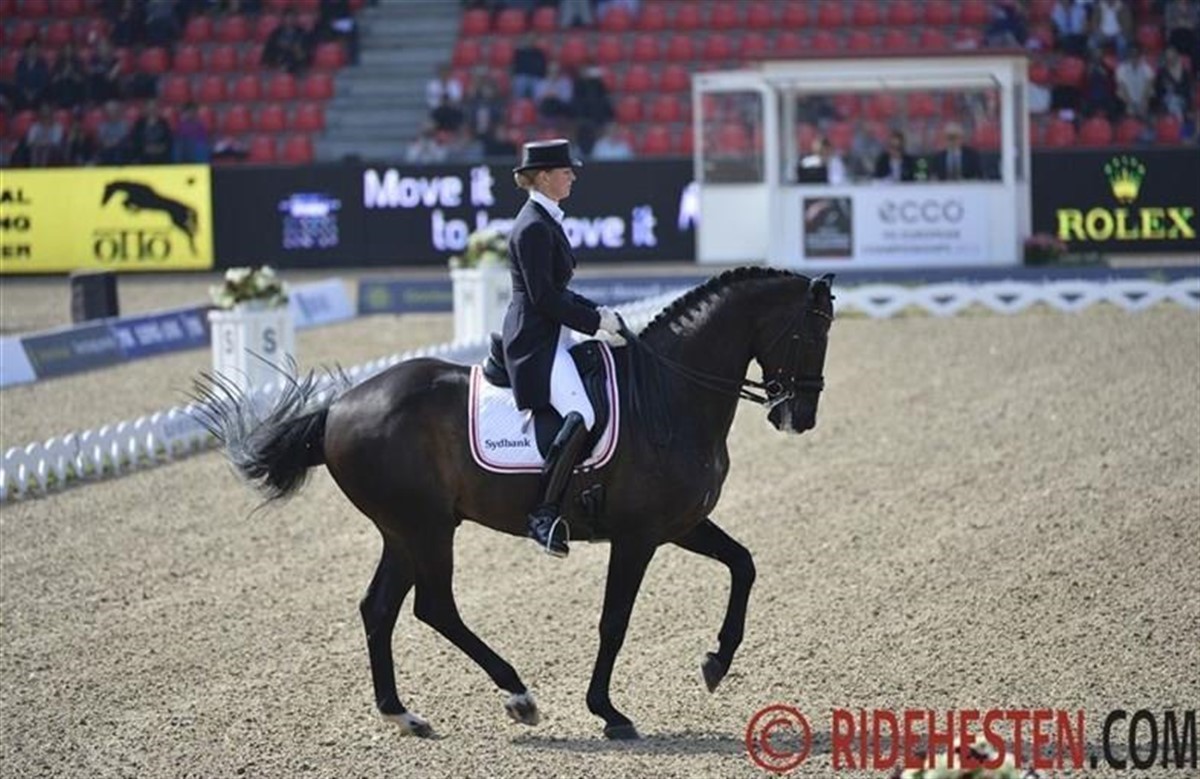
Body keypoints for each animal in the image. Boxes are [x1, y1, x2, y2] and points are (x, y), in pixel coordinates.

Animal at [194, 267, 835, 740]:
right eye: (811, 333)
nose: (799, 417)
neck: (668, 395)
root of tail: (338, 407)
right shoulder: (636, 537)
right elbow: (614, 621)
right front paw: (608, 712)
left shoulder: (681, 523)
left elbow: (743, 564)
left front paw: (715, 663)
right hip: (426, 528)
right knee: (434, 607)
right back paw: (519, 696)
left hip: (403, 531)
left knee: (379, 608)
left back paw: (404, 714)